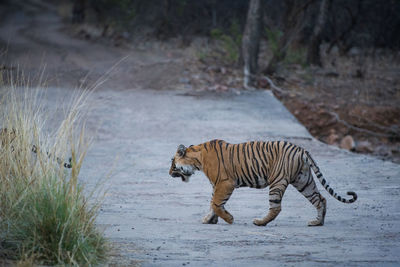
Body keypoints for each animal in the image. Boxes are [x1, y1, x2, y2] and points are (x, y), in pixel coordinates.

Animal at [169, 141, 356, 227]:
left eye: (172, 162)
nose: (169, 173)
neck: (197, 159)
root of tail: (301, 150)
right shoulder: (217, 185)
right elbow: (213, 203)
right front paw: (209, 219)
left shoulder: (225, 183)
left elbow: (215, 203)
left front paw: (228, 219)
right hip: (303, 180)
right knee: (320, 199)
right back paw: (317, 222)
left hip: (277, 181)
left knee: (276, 207)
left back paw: (259, 222)